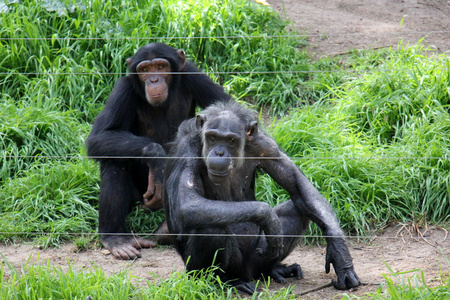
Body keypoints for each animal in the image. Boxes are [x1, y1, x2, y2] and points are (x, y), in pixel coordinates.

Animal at [85, 42, 232, 260]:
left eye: (161, 67)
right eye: (145, 70)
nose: (154, 79)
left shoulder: (194, 75)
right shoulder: (123, 90)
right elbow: (100, 135)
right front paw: (157, 158)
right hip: (140, 202)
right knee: (113, 161)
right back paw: (116, 238)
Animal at [163, 102, 360, 294]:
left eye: (231, 140)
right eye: (212, 137)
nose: (219, 152)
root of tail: (248, 274)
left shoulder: (266, 146)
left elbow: (298, 186)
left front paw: (340, 256)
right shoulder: (186, 149)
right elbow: (187, 202)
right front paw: (267, 215)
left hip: (258, 256)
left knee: (297, 210)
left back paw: (274, 270)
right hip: (214, 267)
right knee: (210, 228)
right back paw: (224, 281)